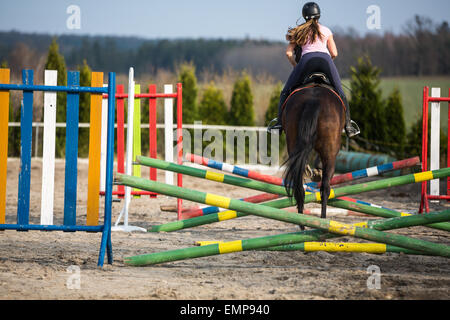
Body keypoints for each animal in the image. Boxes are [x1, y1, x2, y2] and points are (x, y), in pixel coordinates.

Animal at [282, 77, 344, 228]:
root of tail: (313, 100)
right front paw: (317, 171)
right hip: (330, 152)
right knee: (325, 187)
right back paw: (323, 221)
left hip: (293, 141)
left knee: (299, 184)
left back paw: (302, 222)